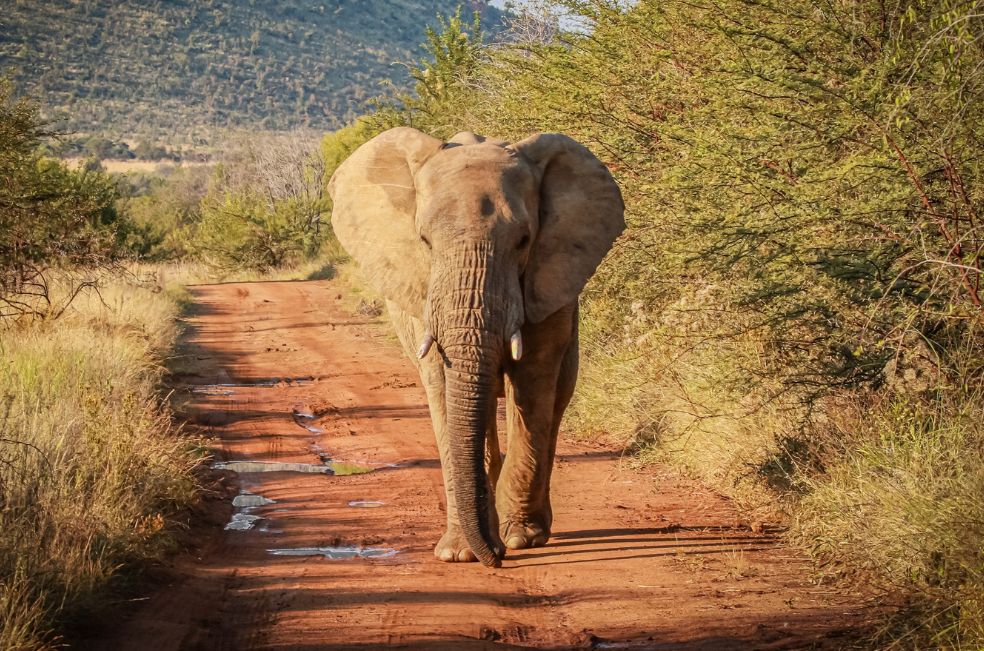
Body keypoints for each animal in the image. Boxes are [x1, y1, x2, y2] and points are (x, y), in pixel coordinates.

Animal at [327, 127, 625, 567]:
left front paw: (519, 539)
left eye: (524, 241)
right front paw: (460, 553)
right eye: (424, 241)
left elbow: (532, 383)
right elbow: (442, 385)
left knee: (555, 401)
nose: (495, 560)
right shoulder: (423, 293)